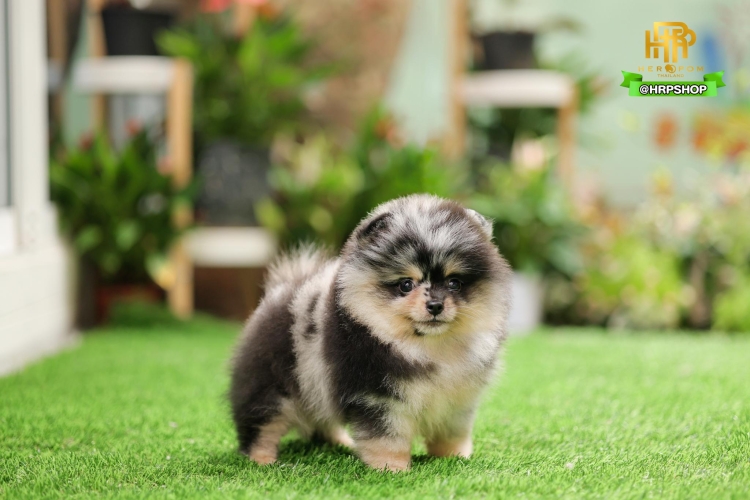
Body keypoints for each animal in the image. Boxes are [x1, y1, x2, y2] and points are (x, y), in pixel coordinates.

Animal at [229, 194, 511, 471]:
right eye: (406, 284)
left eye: (454, 283)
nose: (435, 305)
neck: (428, 347)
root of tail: (278, 293)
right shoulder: (379, 397)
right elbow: (387, 438)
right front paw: (391, 468)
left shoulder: (457, 402)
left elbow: (452, 434)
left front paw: (454, 458)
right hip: (271, 386)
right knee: (261, 425)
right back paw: (262, 459)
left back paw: (340, 442)